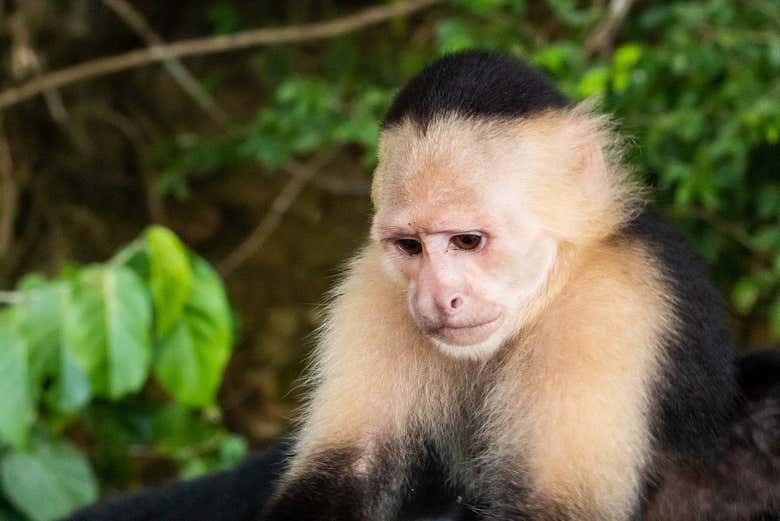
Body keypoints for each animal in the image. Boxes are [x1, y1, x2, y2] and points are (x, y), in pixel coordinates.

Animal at [260, 49, 741, 521]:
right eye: (410, 246)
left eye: (467, 241)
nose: (437, 300)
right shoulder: (373, 288)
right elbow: (348, 469)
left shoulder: (610, 303)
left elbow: (553, 507)